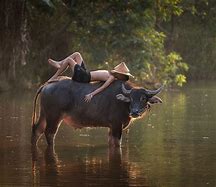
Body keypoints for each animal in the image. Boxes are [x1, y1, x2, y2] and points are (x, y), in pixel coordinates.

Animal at [31, 76, 161, 147]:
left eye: (143, 98)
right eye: (131, 98)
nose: (134, 112)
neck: (123, 103)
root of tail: (46, 85)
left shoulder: (111, 127)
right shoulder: (116, 125)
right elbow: (117, 143)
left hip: (44, 114)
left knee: (37, 130)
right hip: (54, 117)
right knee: (49, 133)